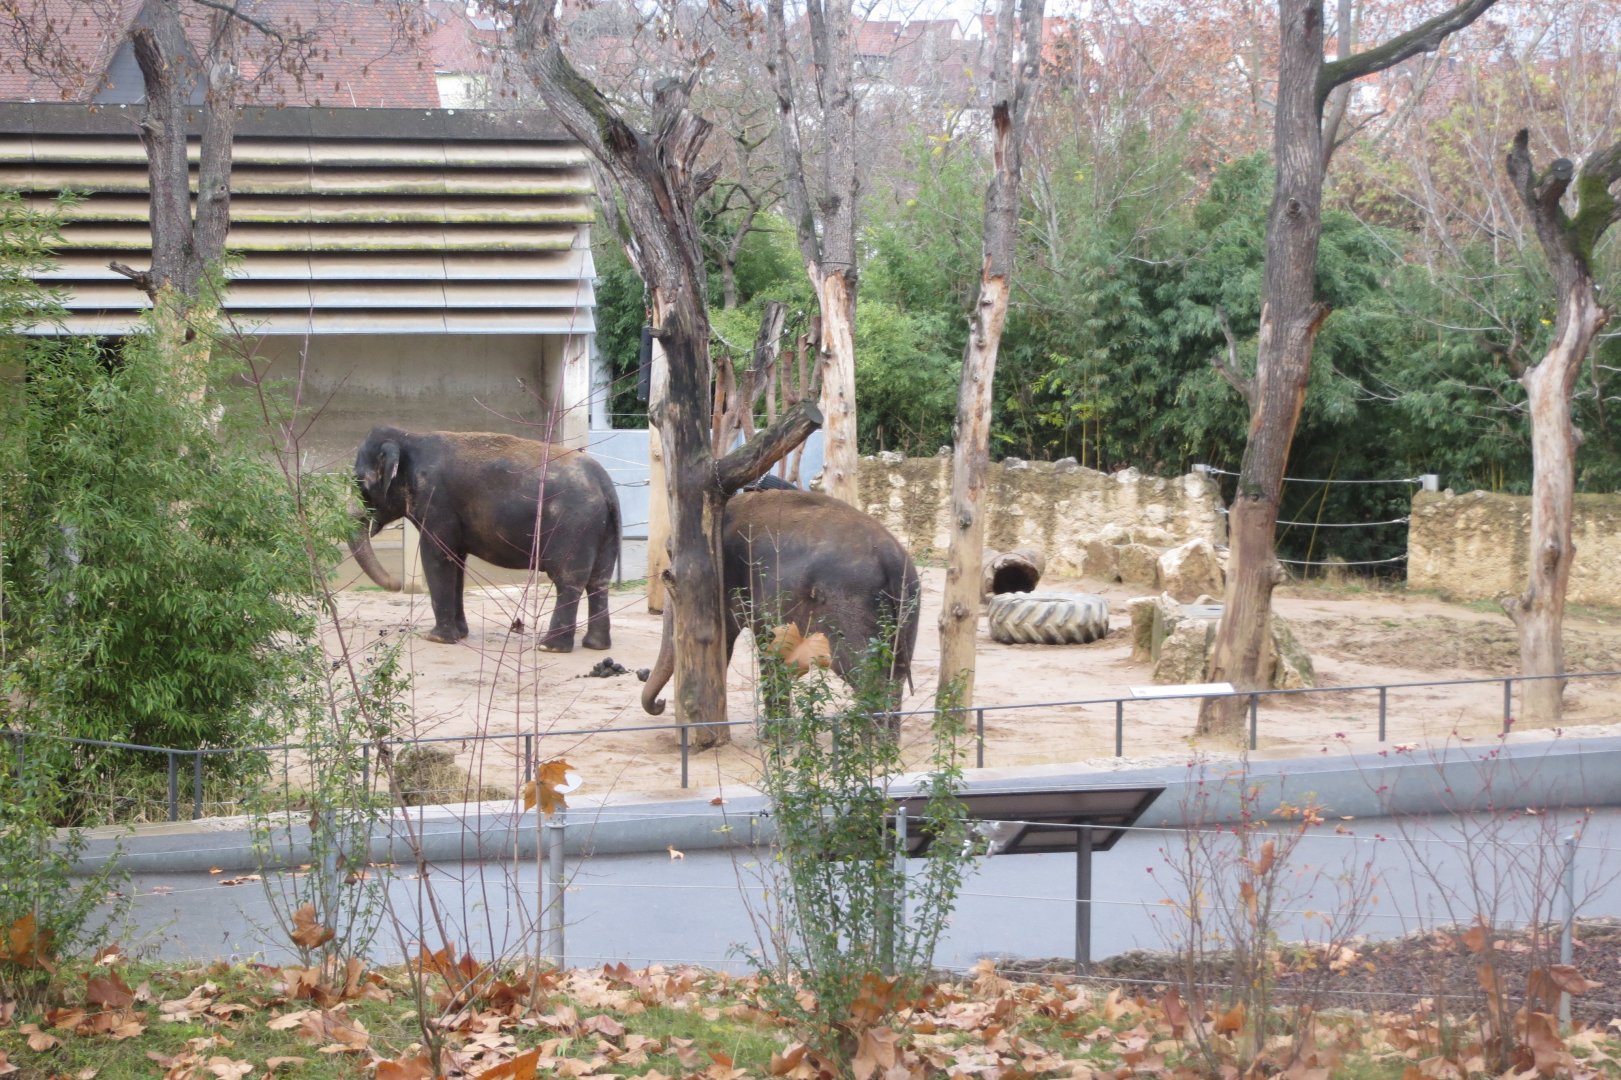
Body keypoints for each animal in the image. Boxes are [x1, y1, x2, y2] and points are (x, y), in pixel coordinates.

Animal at [348, 426, 620, 651]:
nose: (396, 584)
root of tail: (605, 485)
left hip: (573, 525)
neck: (409, 437)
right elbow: (456, 562)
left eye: (359, 482)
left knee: (568, 580)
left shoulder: (436, 503)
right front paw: (460, 634)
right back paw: (595, 645)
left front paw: (436, 638)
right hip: (603, 528)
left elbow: (437, 556)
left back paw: (549, 647)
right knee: (598, 581)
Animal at [640, 490, 921, 719]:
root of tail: (893, 559)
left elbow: (737, 644)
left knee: (866, 676)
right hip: (909, 604)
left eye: (670, 558)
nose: (660, 703)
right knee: (895, 675)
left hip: (850, 603)